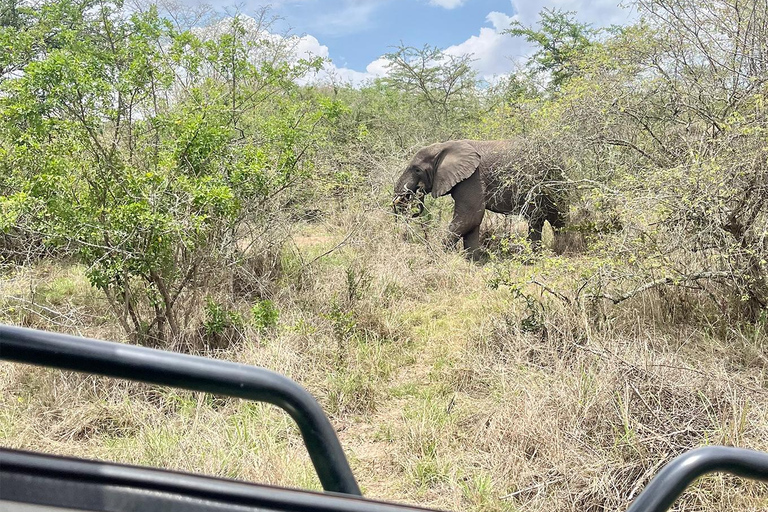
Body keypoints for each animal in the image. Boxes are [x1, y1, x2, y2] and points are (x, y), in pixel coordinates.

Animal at [392, 138, 568, 260]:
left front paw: (439, 254)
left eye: (416, 169)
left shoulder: (473, 177)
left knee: (551, 217)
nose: (416, 193)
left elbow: (469, 217)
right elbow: (472, 221)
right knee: (544, 220)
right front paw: (474, 260)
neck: (444, 146)